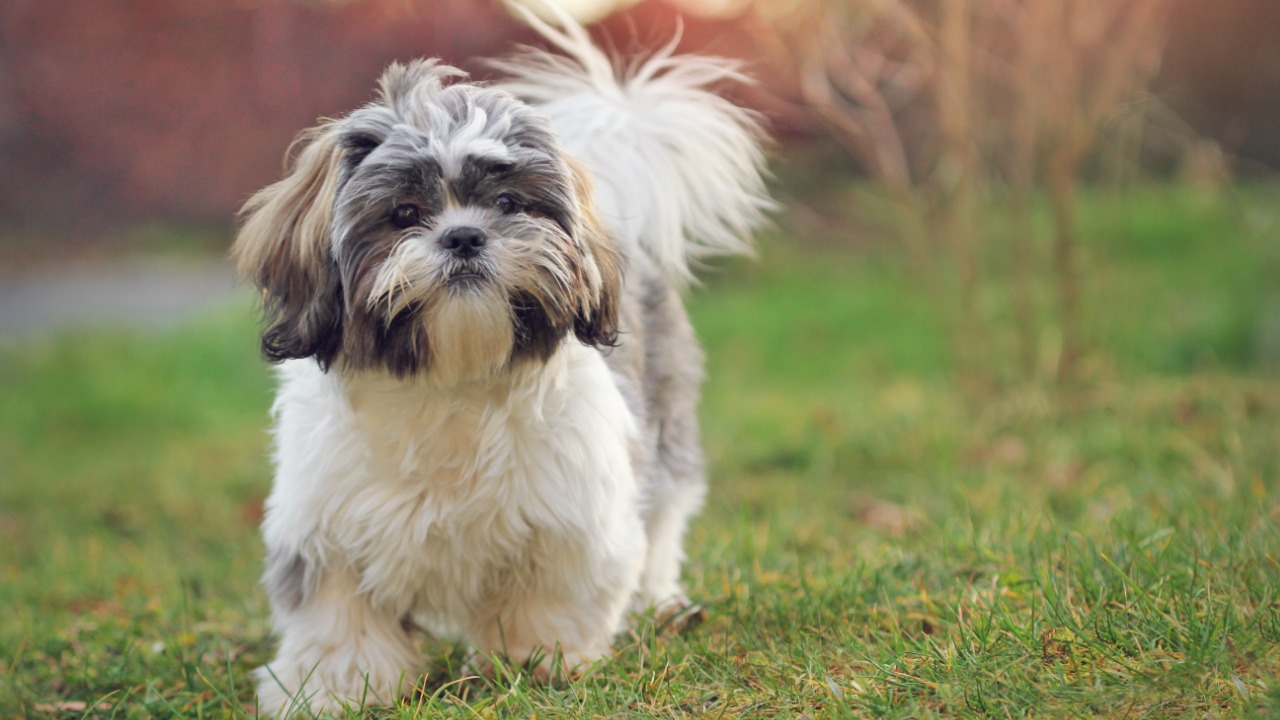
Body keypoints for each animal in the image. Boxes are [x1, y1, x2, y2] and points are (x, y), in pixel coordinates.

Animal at [230, 5, 768, 712]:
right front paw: (334, 688)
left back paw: (660, 605)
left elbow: (551, 597)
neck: (450, 380)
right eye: (404, 213)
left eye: (509, 204)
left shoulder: (572, 516)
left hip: (666, 429)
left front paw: (539, 662)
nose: (464, 236)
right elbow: (338, 617)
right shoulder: (324, 526)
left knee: (663, 523)